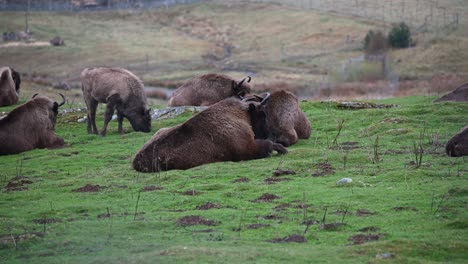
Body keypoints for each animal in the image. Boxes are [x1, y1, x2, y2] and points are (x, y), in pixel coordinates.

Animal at [131, 95, 286, 173]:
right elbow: (268, 145)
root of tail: (136, 160)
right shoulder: (248, 149)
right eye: (263, 114)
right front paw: (283, 149)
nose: (271, 134)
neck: (240, 114)